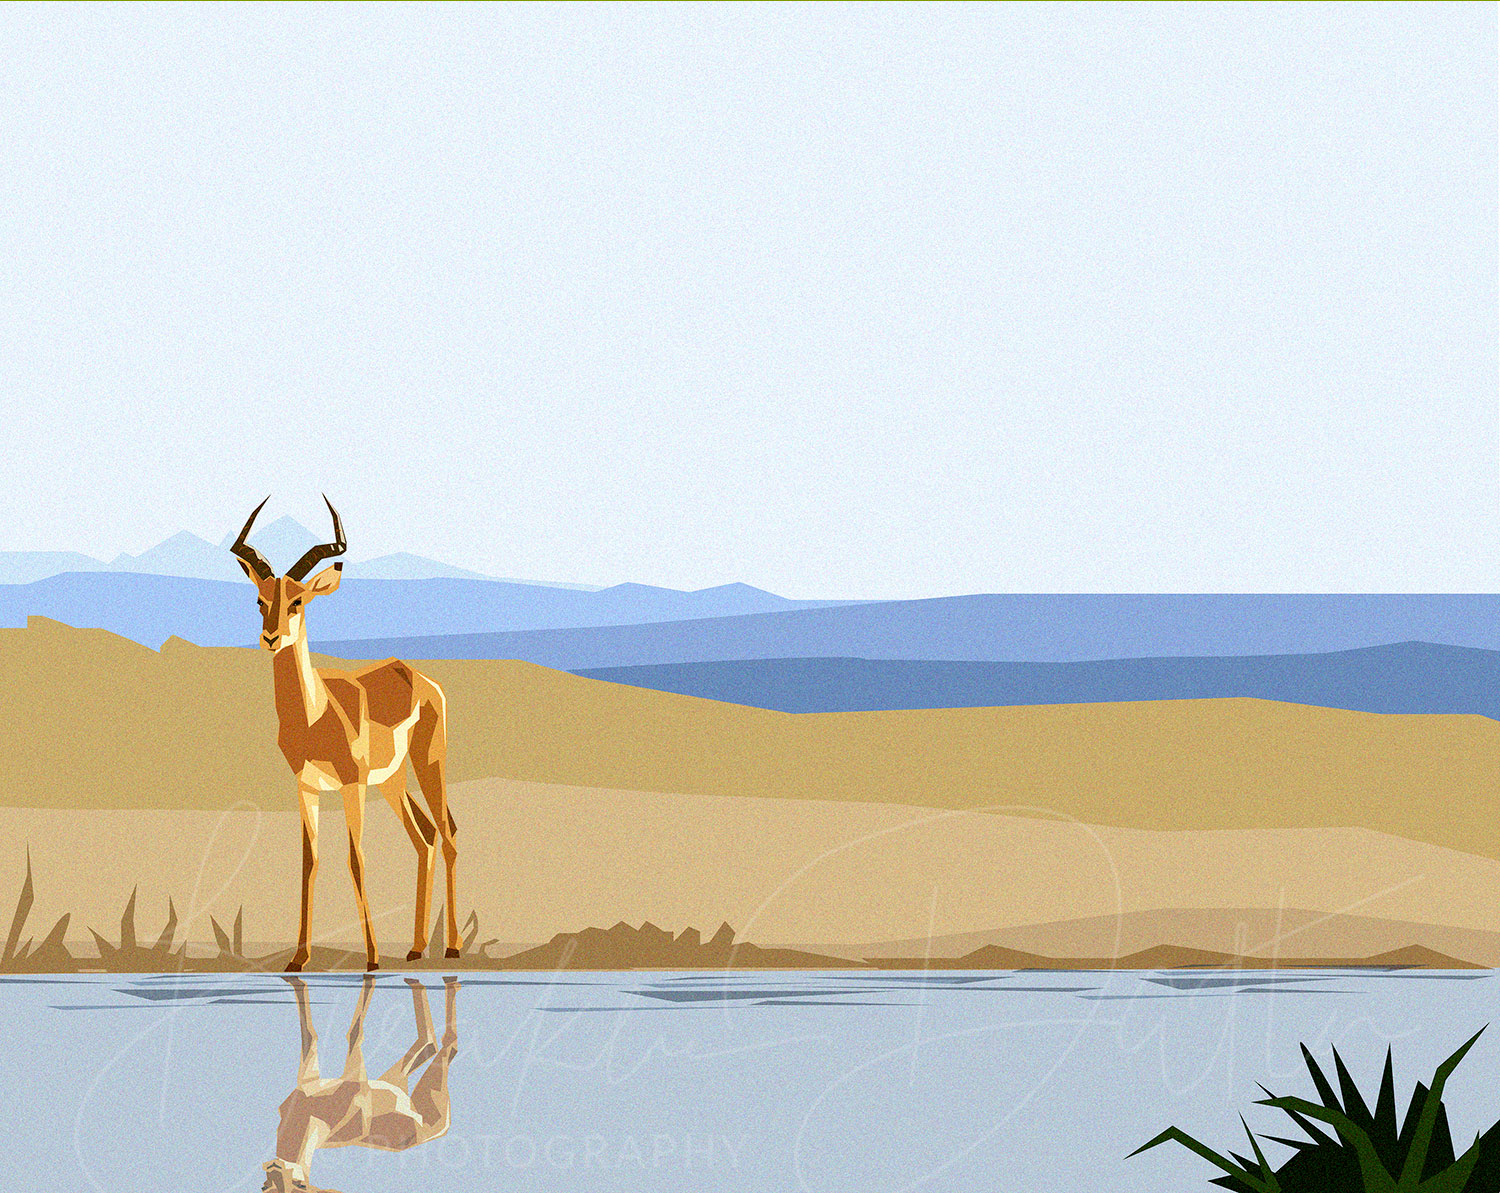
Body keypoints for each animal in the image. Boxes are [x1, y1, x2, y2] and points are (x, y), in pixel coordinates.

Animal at [232, 497, 458, 972]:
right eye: (260, 599)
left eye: (298, 600)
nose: (270, 637)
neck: (314, 715)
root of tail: (418, 677)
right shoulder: (307, 787)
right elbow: (309, 862)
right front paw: (298, 958)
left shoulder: (352, 785)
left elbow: (356, 858)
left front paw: (371, 957)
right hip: (392, 782)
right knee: (424, 839)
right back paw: (414, 949)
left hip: (428, 763)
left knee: (447, 835)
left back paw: (452, 947)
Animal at [262, 975, 460, 1193]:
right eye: (273, 1183)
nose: (274, 1164)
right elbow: (351, 1033)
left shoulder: (311, 1082)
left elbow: (314, 1034)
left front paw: (295, 980)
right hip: (430, 1110)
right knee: (443, 1045)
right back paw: (442, 984)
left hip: (392, 1082)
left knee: (428, 1045)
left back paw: (424, 982)